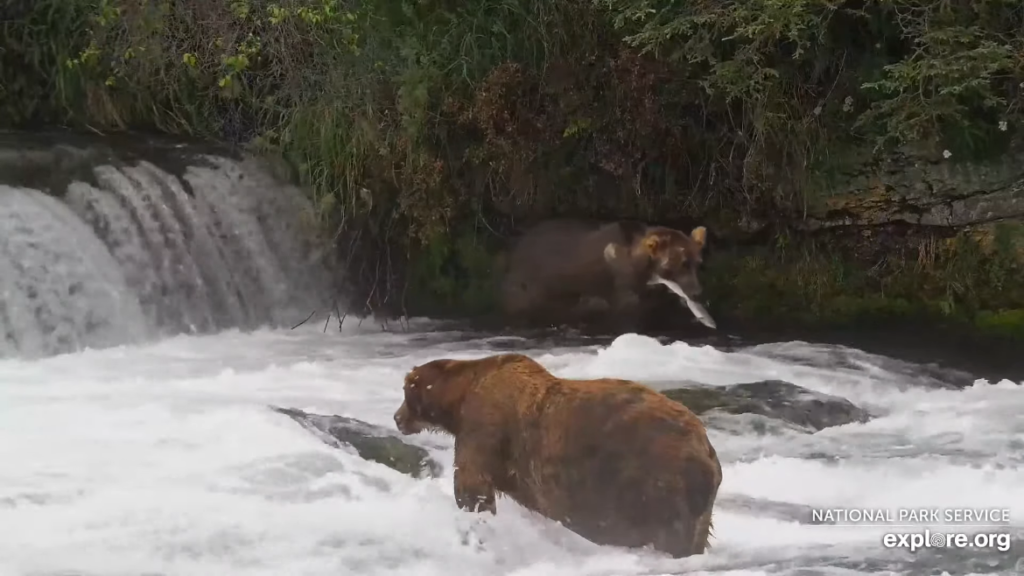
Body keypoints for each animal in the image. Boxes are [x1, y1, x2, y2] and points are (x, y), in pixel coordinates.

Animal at [389, 350, 720, 557]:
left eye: (406, 391)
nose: (396, 418)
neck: (459, 400)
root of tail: (706, 452)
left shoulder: (484, 427)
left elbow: (472, 484)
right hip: (697, 507)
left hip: (655, 481)